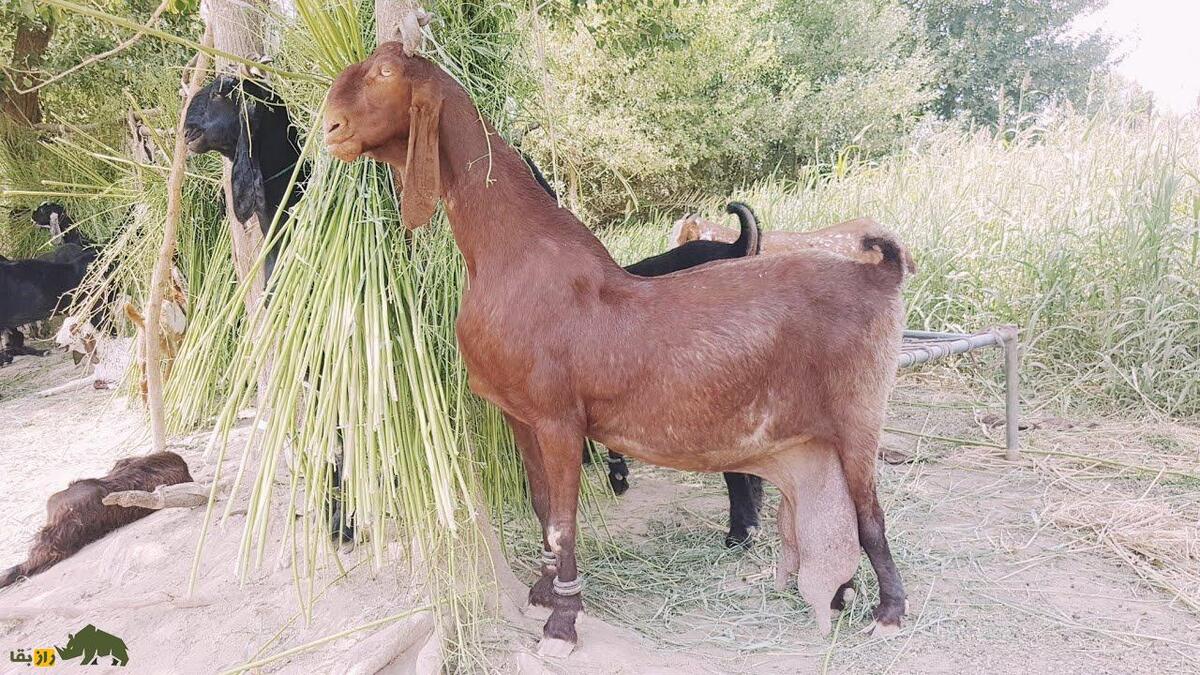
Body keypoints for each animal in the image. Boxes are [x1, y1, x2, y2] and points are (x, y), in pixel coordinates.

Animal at [326, 43, 907, 653]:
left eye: (385, 73)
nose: (330, 128)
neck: (510, 257)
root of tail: (880, 275)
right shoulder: (520, 416)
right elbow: (542, 507)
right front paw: (541, 592)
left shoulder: (560, 419)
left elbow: (564, 522)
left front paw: (562, 622)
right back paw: (837, 593)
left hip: (858, 412)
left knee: (870, 510)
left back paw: (889, 612)